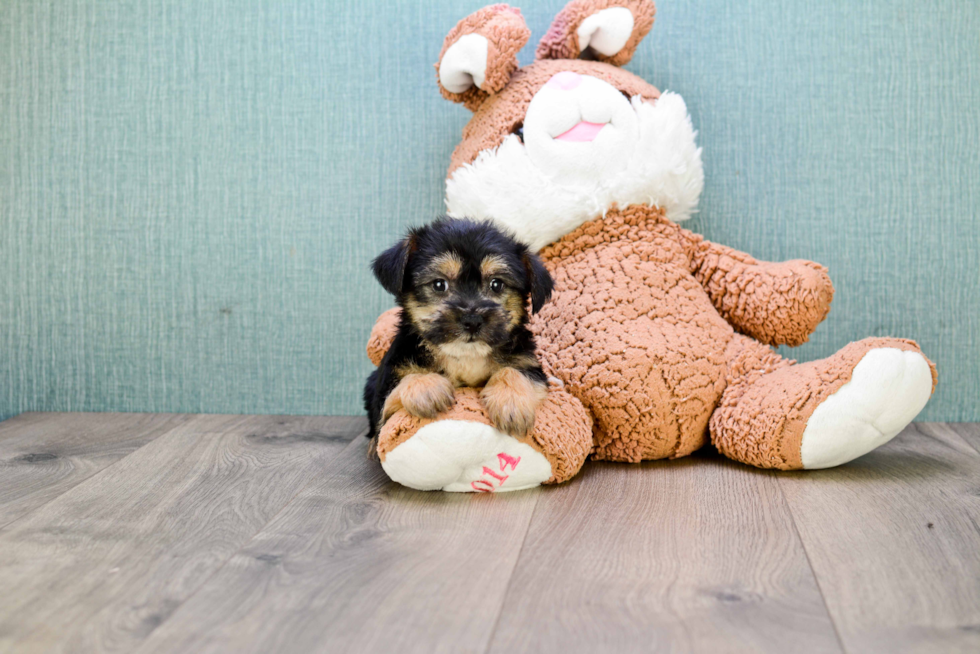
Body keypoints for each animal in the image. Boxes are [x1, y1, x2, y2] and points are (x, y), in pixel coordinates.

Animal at [364, 218, 556, 448]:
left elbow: (512, 371)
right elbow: (397, 390)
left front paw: (511, 404)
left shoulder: (530, 367)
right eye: (439, 284)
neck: (465, 356)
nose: (472, 320)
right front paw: (426, 387)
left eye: (497, 284)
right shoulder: (385, 392)